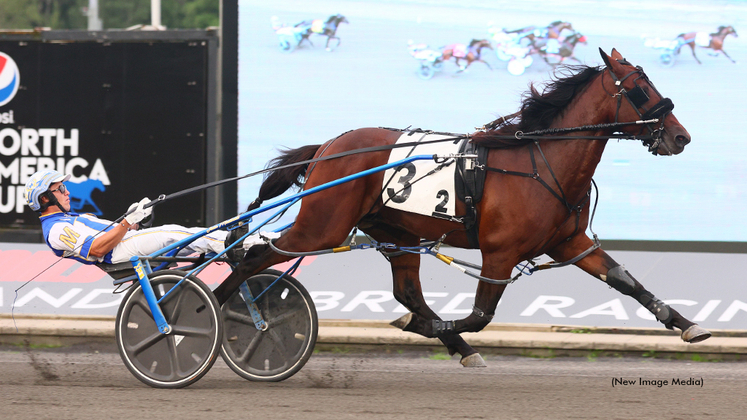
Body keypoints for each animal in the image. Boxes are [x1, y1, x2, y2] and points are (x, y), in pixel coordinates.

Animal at [215, 47, 712, 366]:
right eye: (641, 88)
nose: (680, 135)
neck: (541, 161)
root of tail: (327, 147)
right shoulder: (500, 253)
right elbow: (480, 314)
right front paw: (431, 328)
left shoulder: (569, 242)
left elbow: (626, 281)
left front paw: (688, 324)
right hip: (323, 226)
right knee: (253, 256)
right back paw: (208, 309)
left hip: (395, 232)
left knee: (407, 291)